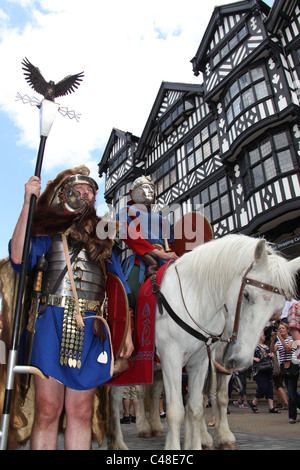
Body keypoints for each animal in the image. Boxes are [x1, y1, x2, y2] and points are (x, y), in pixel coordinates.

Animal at [106, 237, 298, 450]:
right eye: (247, 294)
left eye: (277, 309)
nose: (242, 361)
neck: (197, 299)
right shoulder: (173, 358)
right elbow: (177, 409)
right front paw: (198, 440)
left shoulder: (204, 362)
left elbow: (201, 405)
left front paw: (213, 438)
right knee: (117, 397)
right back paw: (120, 440)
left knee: (153, 392)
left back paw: (152, 427)